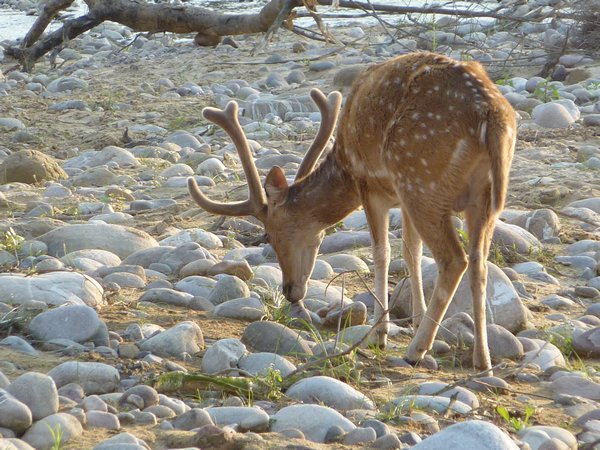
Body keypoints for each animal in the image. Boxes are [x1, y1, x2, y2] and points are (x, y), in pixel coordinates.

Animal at [190, 52, 516, 370]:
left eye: (271, 235)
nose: (290, 290)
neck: (344, 166)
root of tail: (491, 115)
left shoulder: (370, 186)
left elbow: (382, 252)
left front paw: (379, 334)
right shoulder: (401, 199)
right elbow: (411, 252)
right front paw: (415, 319)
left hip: (421, 179)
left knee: (454, 259)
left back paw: (416, 351)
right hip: (479, 197)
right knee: (479, 261)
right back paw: (481, 358)